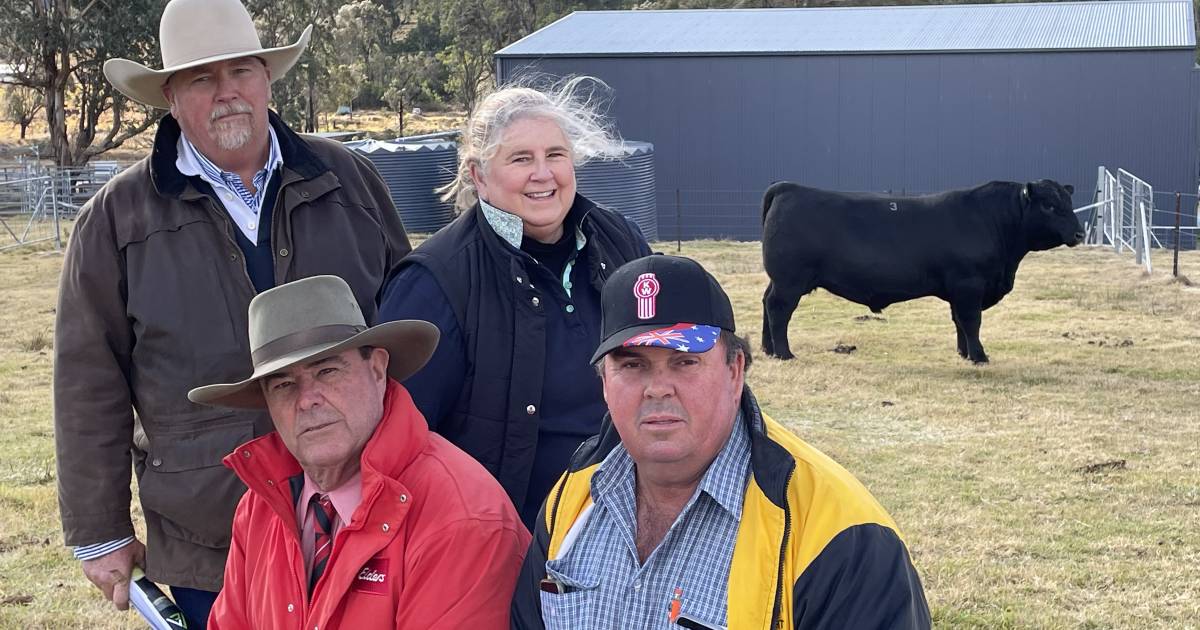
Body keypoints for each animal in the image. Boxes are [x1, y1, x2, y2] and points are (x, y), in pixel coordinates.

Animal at [758, 178, 1089, 360]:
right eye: (1049, 205)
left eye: (1068, 201)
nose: (1079, 234)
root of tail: (788, 188)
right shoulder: (969, 284)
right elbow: (971, 321)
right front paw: (980, 356)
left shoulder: (960, 289)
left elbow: (958, 321)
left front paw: (964, 353)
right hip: (790, 280)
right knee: (778, 309)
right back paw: (785, 353)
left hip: (780, 279)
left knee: (766, 303)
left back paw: (767, 350)